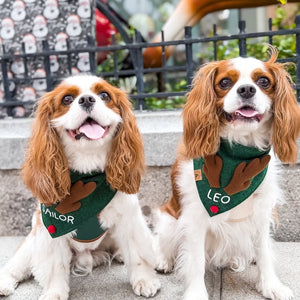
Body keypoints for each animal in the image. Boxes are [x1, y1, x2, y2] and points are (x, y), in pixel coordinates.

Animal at [0, 75, 161, 300]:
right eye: (67, 99)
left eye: (104, 95)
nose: (86, 99)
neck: (88, 171)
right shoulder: (50, 231)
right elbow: (55, 266)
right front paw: (54, 292)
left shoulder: (129, 219)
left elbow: (138, 253)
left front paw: (144, 280)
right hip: (30, 244)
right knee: (15, 266)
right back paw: (5, 281)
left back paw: (119, 253)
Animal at [155, 49, 300, 300]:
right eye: (224, 82)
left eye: (264, 81)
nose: (247, 89)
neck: (238, 154)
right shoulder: (194, 218)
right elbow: (195, 260)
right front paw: (196, 293)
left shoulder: (262, 213)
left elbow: (264, 251)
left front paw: (271, 285)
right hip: (168, 221)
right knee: (163, 242)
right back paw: (164, 260)